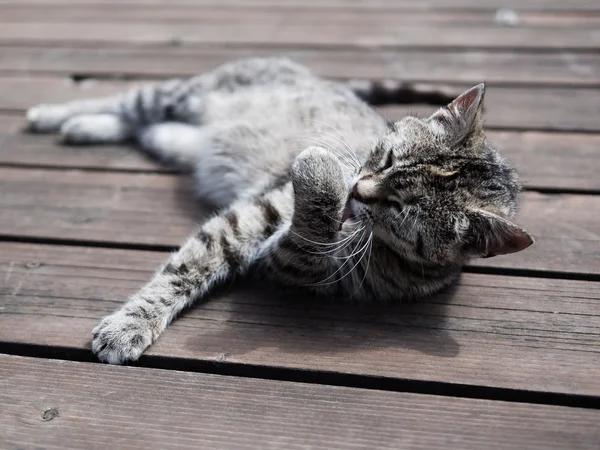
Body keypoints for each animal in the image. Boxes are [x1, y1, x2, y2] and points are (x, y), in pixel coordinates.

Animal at [25, 57, 532, 366]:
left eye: (400, 208)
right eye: (387, 157)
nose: (357, 189)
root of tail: (315, 73)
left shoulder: (292, 266)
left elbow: (308, 240)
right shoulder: (261, 212)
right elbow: (189, 266)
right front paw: (132, 322)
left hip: (181, 133)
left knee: (149, 128)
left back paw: (89, 127)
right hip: (184, 92)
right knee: (128, 101)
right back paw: (59, 115)